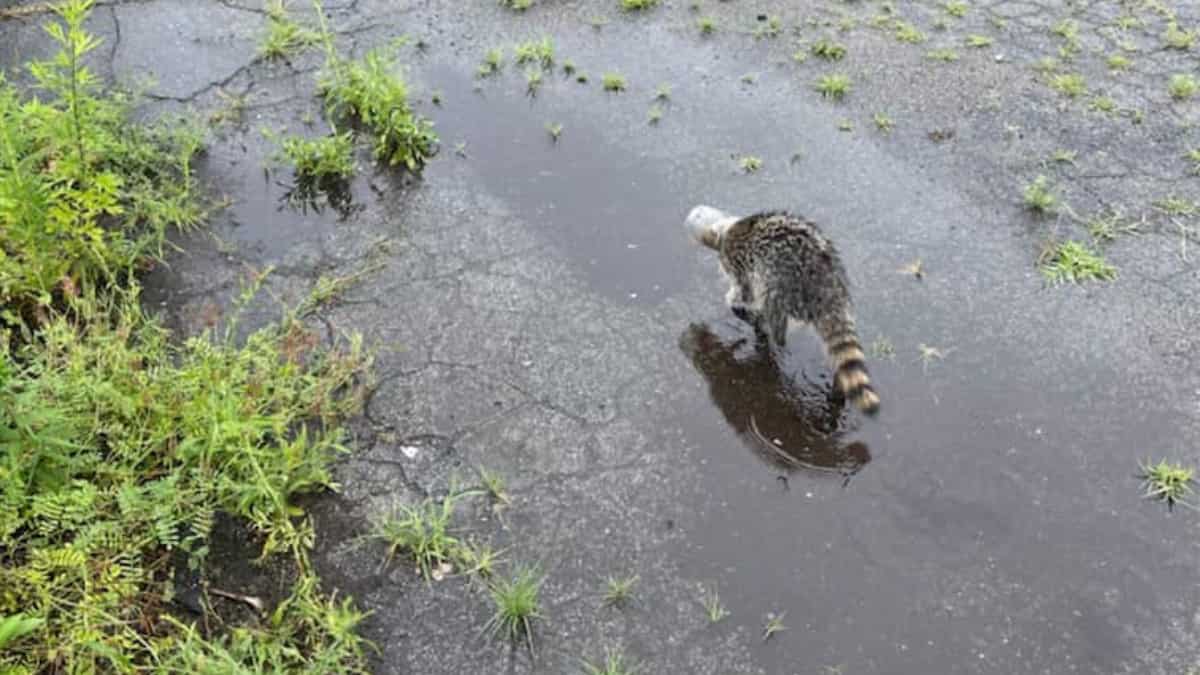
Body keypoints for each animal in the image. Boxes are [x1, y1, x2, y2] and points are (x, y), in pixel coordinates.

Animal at [685, 206, 880, 415]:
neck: (728, 229)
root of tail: (826, 285)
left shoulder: (740, 266)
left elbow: (743, 294)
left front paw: (736, 304)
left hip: (781, 281)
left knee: (772, 309)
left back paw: (769, 330)